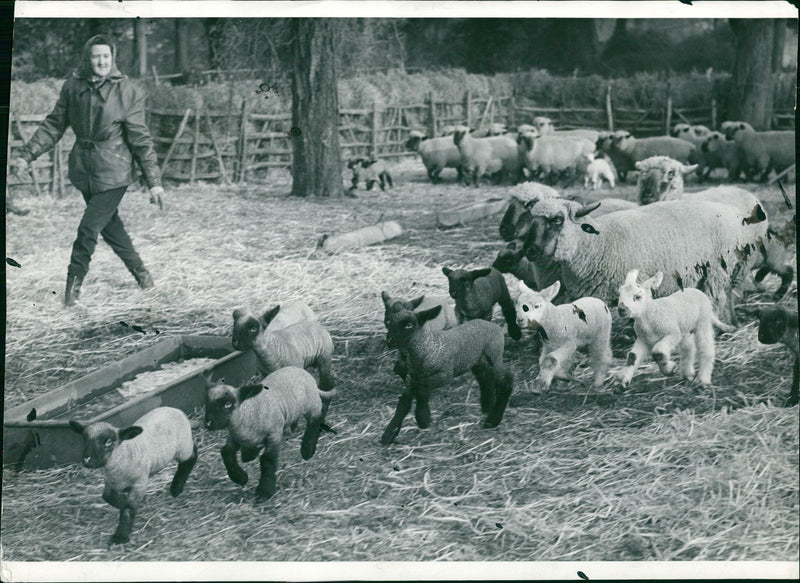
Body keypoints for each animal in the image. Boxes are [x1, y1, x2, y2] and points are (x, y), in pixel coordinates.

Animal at [69, 408, 197, 544]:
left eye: (109, 442)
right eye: (85, 439)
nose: (87, 459)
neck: (125, 454)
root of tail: (175, 410)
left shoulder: (139, 484)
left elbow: (128, 508)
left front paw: (121, 536)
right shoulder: (110, 483)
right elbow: (107, 497)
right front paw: (122, 503)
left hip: (183, 448)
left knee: (191, 457)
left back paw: (176, 488)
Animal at [205, 368, 336, 500]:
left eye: (228, 404)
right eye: (207, 402)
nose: (208, 423)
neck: (248, 413)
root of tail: (303, 371)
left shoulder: (274, 435)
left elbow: (267, 460)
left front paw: (264, 492)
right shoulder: (236, 437)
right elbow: (226, 452)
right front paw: (239, 477)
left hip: (312, 406)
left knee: (315, 422)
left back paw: (307, 451)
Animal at [380, 304, 512, 444]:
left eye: (409, 325)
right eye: (390, 322)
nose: (389, 340)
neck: (425, 349)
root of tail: (495, 326)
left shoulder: (445, 375)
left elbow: (421, 390)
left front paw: (422, 418)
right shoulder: (413, 378)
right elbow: (404, 402)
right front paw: (389, 434)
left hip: (494, 354)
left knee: (506, 380)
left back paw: (493, 420)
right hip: (477, 360)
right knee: (486, 377)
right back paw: (487, 406)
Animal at [520, 192, 768, 322]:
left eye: (557, 220)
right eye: (530, 221)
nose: (529, 251)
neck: (597, 243)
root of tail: (732, 213)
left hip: (716, 270)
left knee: (717, 298)